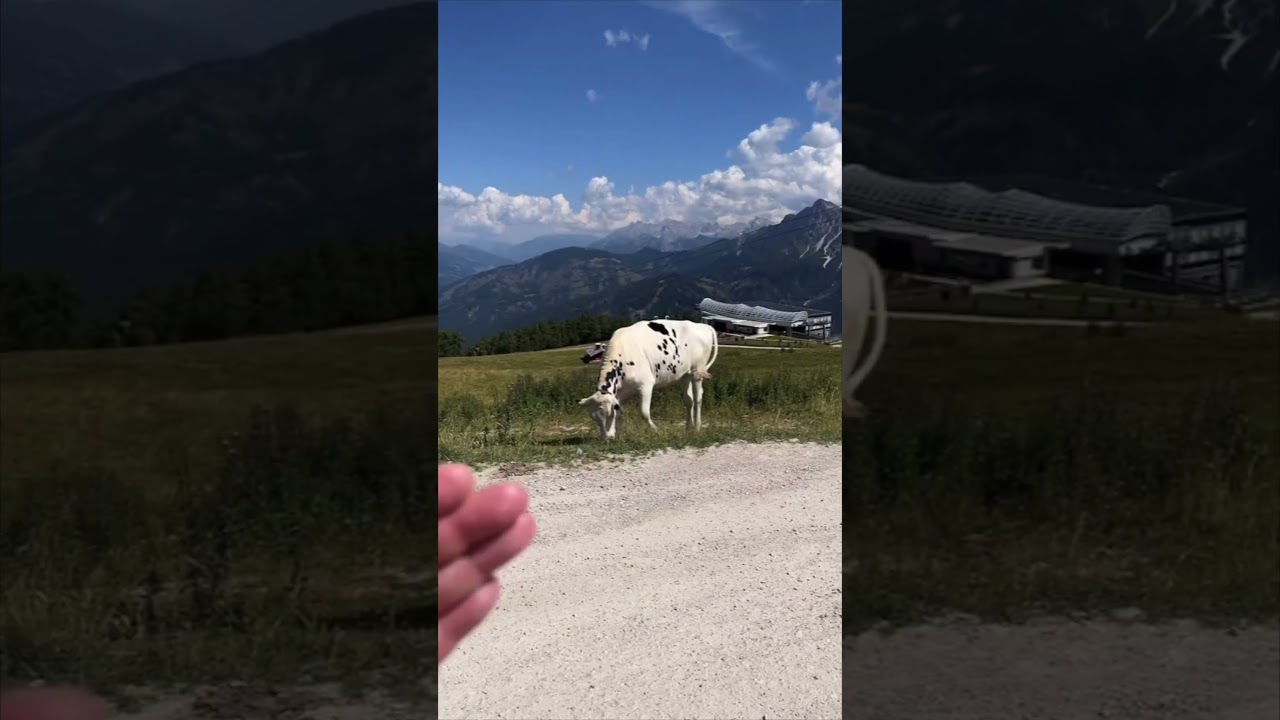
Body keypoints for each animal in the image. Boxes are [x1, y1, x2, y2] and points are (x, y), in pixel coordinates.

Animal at [578, 319, 719, 440]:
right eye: (594, 418)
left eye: (608, 414)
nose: (606, 439)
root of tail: (703, 326)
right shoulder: (621, 393)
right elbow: (619, 412)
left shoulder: (645, 385)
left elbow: (644, 412)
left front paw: (656, 430)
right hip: (685, 375)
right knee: (689, 400)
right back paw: (688, 427)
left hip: (697, 372)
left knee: (698, 398)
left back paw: (697, 427)